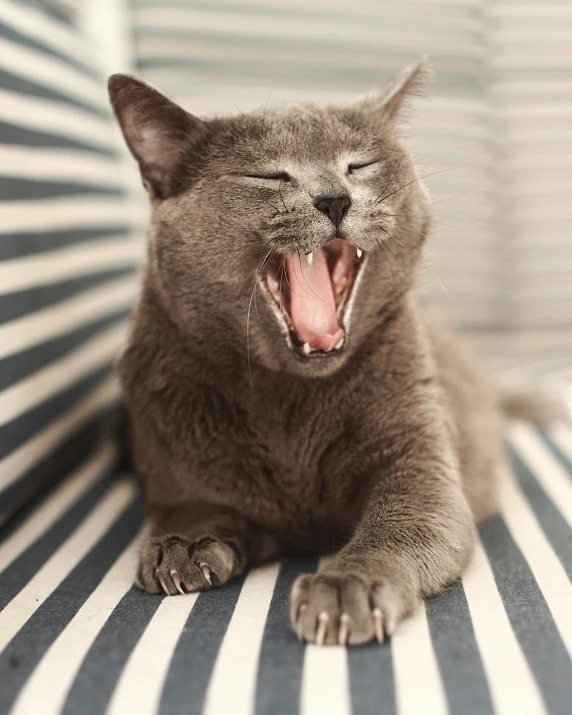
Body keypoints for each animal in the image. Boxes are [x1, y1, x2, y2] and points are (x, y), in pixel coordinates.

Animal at [107, 63, 504, 648]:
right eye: (267, 176)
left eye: (359, 165)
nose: (335, 198)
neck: (290, 398)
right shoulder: (177, 462)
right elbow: (195, 504)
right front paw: (182, 544)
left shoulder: (419, 457)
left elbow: (402, 524)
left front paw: (344, 589)